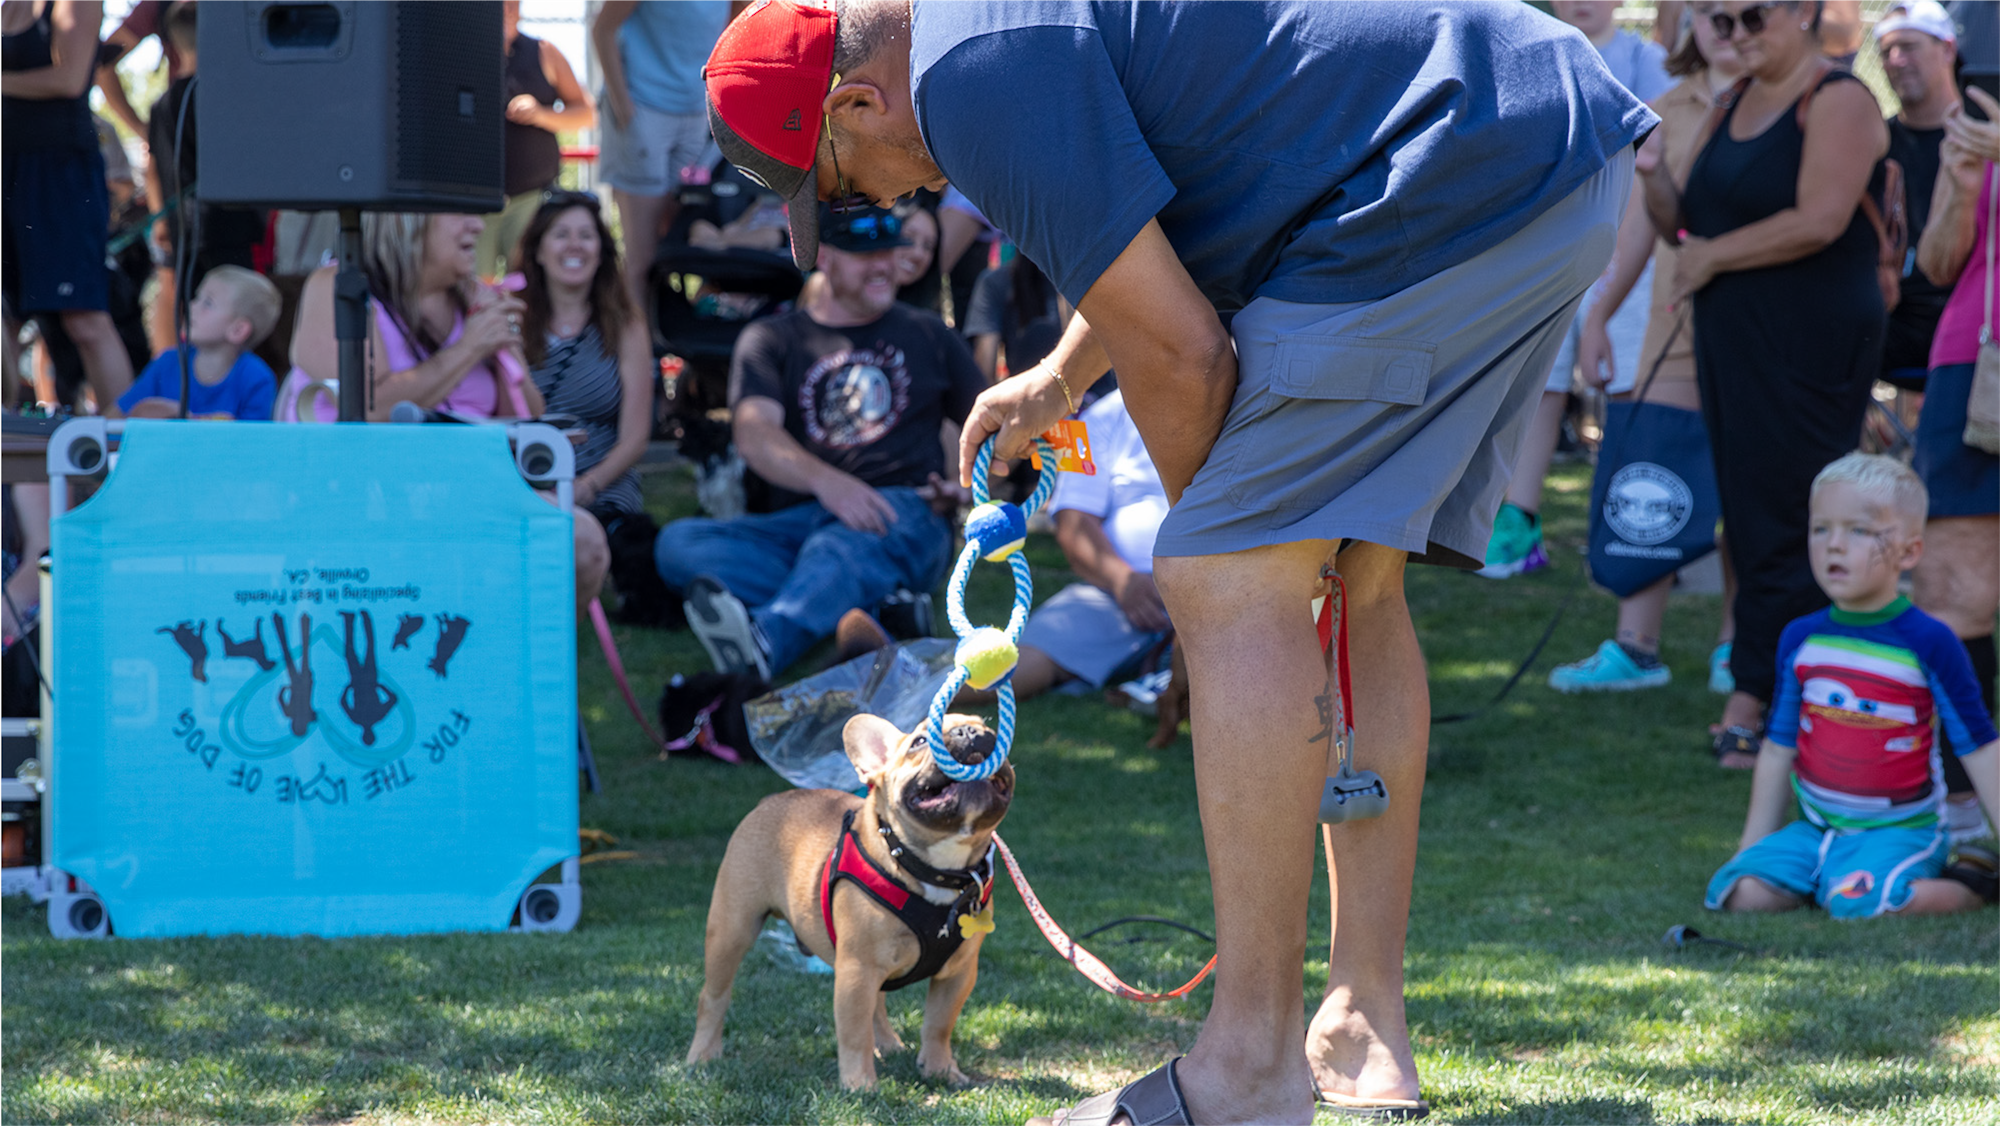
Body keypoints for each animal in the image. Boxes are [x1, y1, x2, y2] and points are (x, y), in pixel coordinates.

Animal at [688, 712, 1016, 1096]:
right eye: (920, 741)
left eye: (990, 727)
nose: (972, 732)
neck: (935, 868)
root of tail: (768, 801)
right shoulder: (857, 969)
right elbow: (854, 1030)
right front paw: (860, 1083)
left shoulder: (957, 973)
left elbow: (939, 1024)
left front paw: (940, 1070)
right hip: (732, 928)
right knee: (713, 996)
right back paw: (702, 1055)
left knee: (879, 1002)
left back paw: (888, 1043)